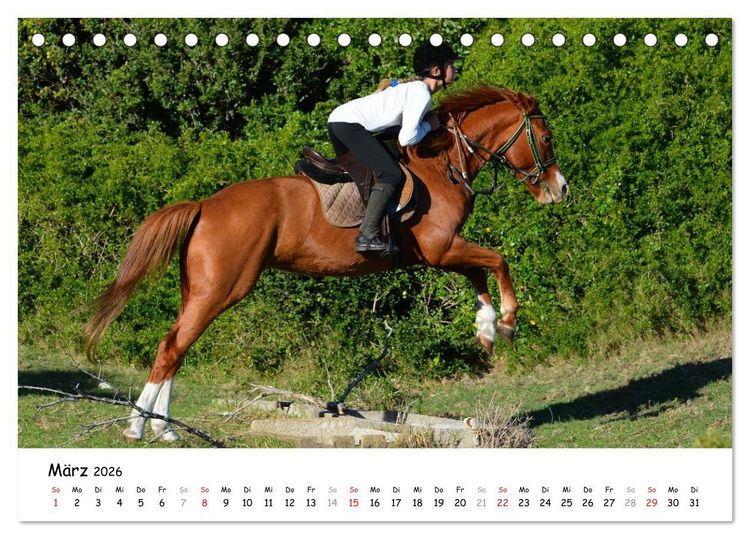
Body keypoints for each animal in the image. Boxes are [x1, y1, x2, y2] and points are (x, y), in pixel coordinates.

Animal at [84, 85, 569, 442]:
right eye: (546, 139)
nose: (559, 189)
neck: (444, 163)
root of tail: (204, 205)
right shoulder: (441, 247)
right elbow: (498, 260)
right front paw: (507, 322)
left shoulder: (442, 252)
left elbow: (479, 273)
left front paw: (486, 329)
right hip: (222, 289)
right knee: (172, 348)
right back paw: (137, 428)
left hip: (200, 290)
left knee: (176, 348)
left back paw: (163, 429)